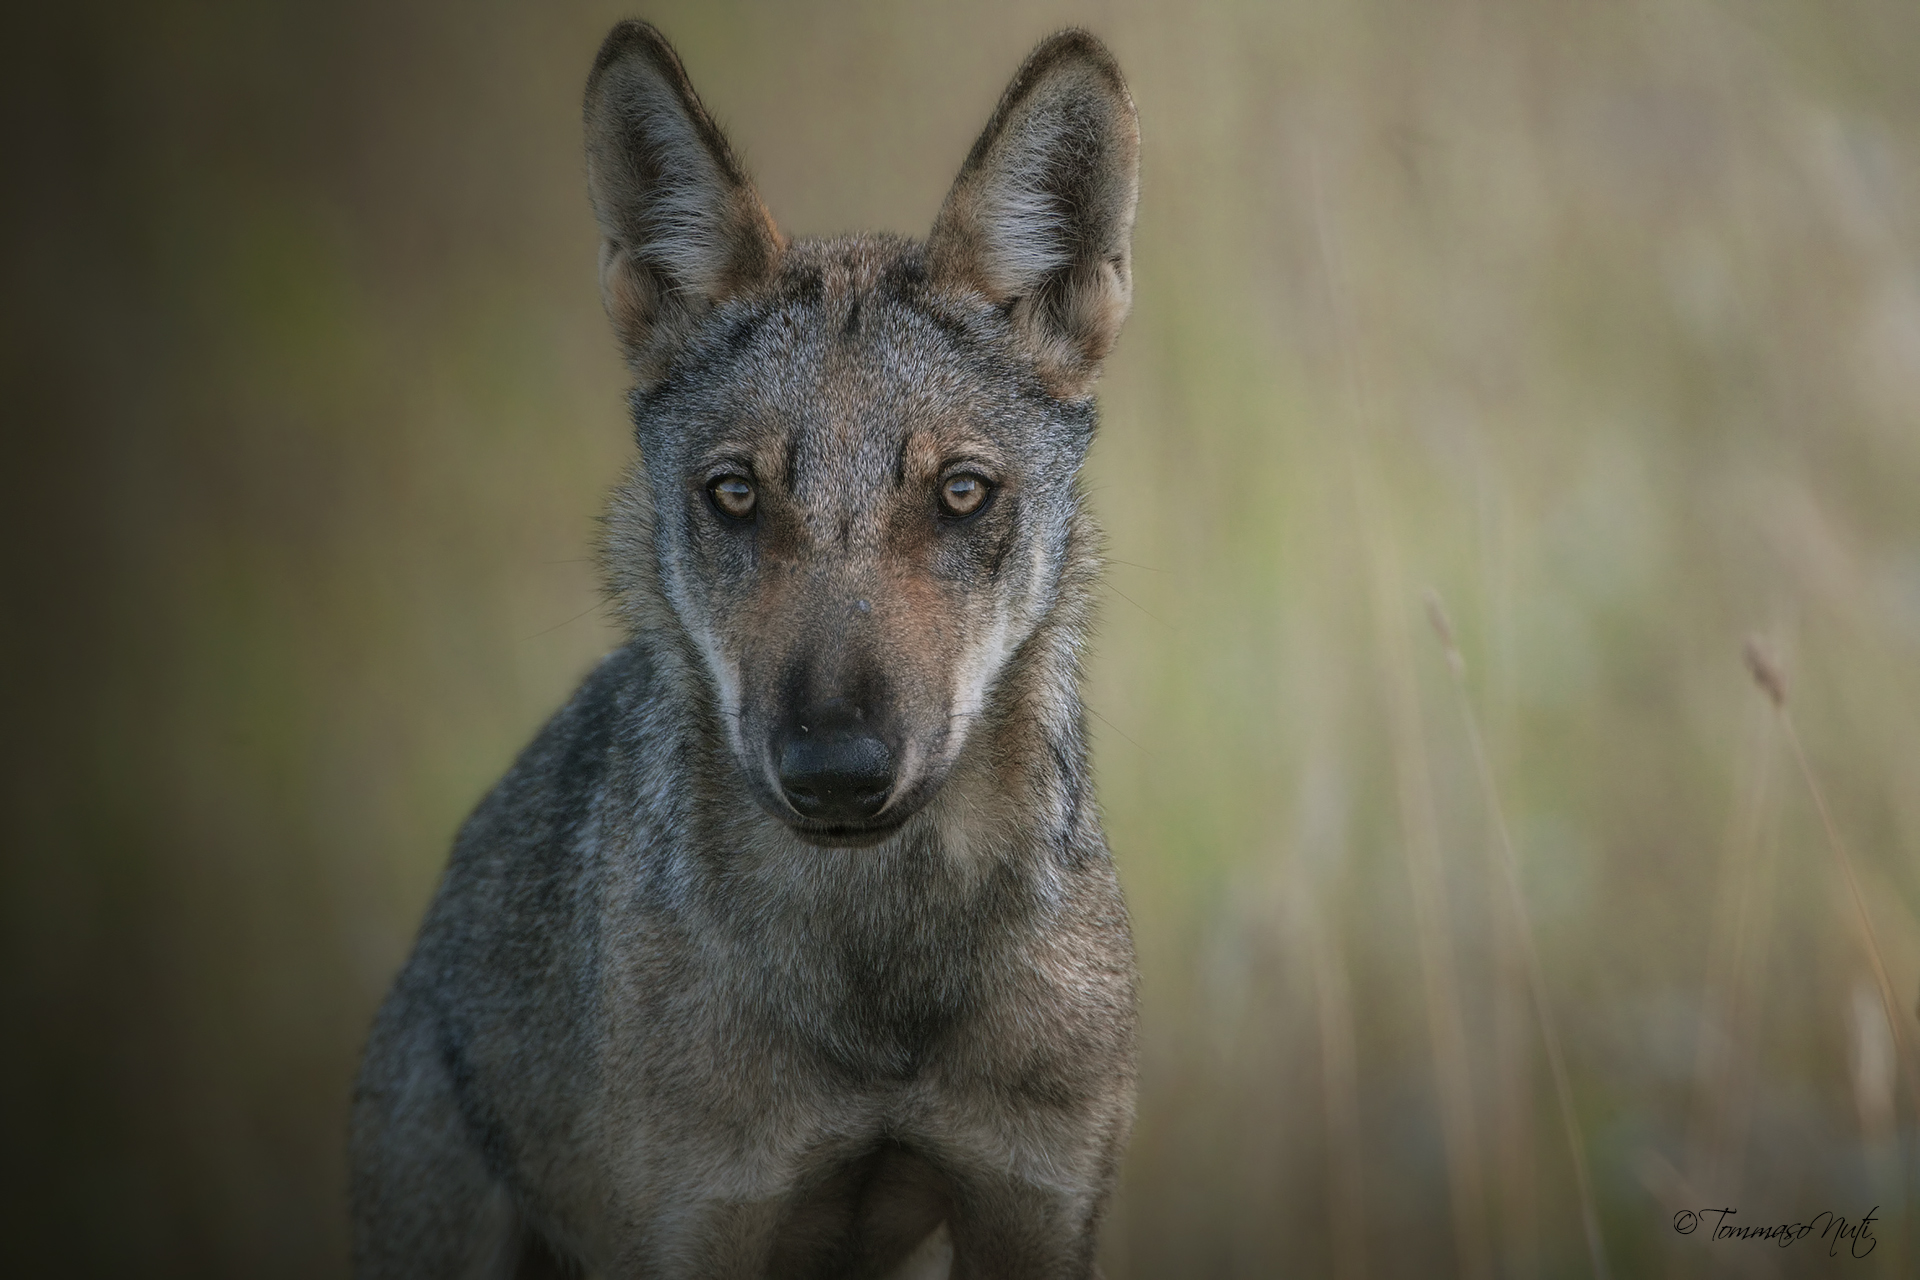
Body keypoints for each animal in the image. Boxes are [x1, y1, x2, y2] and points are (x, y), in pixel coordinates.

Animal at [350, 20, 1140, 1279]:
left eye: (962, 493)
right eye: (734, 495)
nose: (836, 771)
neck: (875, 980)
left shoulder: (1035, 1207)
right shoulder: (702, 1222)